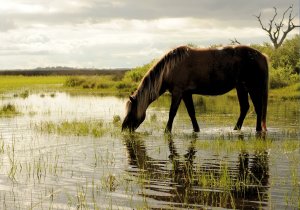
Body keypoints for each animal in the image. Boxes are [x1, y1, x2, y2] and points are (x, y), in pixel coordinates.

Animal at [122, 45, 270, 133]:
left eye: (131, 111)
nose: (124, 128)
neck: (170, 68)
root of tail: (262, 56)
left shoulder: (177, 92)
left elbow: (172, 113)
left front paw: (167, 131)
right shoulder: (186, 94)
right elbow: (191, 113)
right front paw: (196, 130)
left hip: (250, 87)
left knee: (254, 107)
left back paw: (250, 129)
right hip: (243, 88)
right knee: (249, 108)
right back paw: (244, 129)